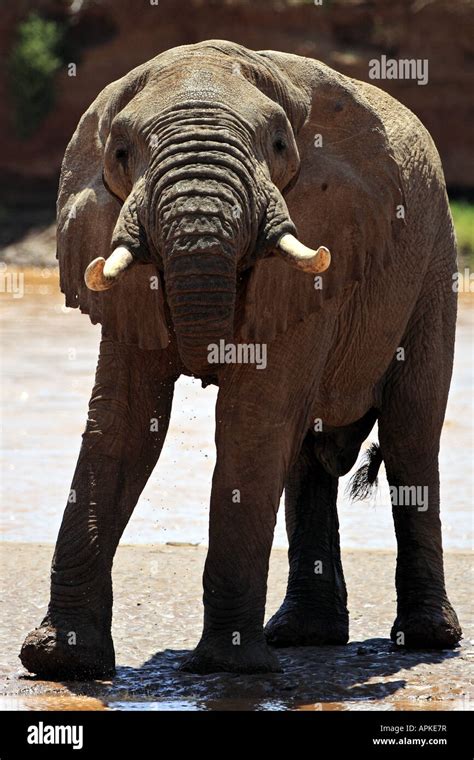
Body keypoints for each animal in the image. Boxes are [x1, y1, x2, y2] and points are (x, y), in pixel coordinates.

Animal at [20, 40, 462, 676]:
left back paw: (426, 639)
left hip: (435, 266)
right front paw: (62, 663)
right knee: (307, 457)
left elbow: (251, 420)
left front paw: (226, 667)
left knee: (410, 438)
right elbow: (122, 423)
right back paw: (302, 636)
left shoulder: (327, 240)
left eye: (278, 145)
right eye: (121, 152)